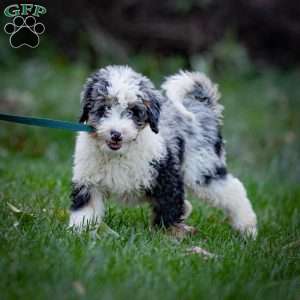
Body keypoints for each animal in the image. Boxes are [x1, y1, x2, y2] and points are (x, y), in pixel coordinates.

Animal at [69, 65, 256, 237]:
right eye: (104, 108)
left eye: (133, 111)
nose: (116, 134)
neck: (118, 154)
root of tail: (203, 106)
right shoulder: (88, 182)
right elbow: (85, 211)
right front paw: (79, 234)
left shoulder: (167, 175)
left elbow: (169, 209)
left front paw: (167, 236)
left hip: (202, 168)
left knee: (234, 190)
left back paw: (248, 228)